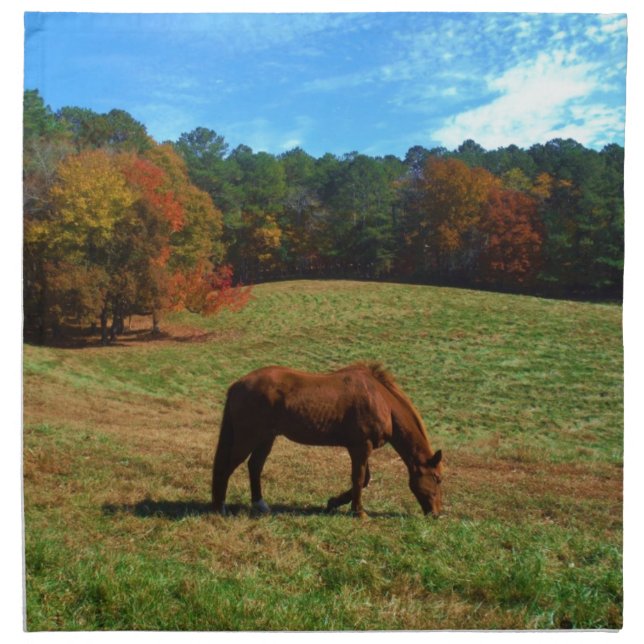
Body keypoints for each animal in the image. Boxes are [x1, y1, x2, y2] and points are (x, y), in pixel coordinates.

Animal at [211, 362, 443, 518]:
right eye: (437, 478)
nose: (436, 514)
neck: (381, 400)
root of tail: (237, 385)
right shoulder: (361, 447)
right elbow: (359, 478)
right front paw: (358, 512)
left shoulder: (360, 448)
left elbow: (364, 479)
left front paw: (333, 503)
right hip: (248, 438)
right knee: (227, 467)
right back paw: (220, 507)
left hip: (266, 438)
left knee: (255, 466)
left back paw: (259, 504)